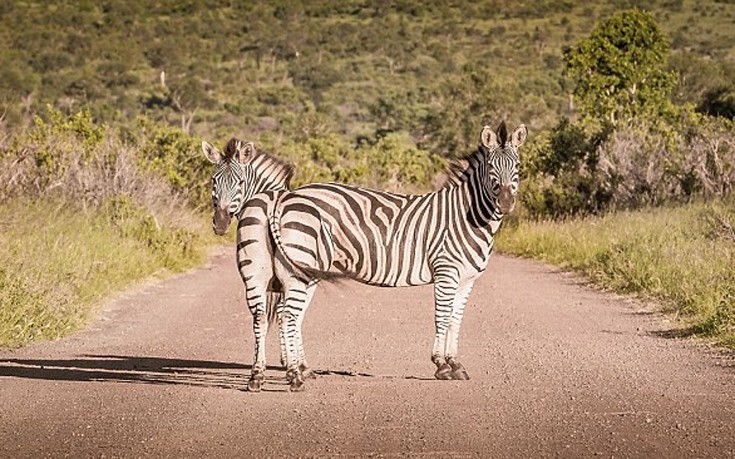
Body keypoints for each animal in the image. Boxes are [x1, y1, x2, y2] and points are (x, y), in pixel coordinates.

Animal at [200, 138, 310, 394]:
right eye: (213, 180)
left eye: (240, 182)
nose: (220, 224)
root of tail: (272, 206)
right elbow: (293, 318)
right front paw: (298, 365)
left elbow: (278, 316)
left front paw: (287, 361)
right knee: (283, 316)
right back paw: (291, 377)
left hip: (253, 276)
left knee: (259, 318)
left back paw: (257, 376)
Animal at [268, 122, 528, 392]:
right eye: (491, 167)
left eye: (518, 166)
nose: (506, 203)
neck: (467, 217)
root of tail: (289, 196)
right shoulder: (446, 272)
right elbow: (442, 316)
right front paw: (441, 365)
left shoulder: (467, 279)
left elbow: (455, 319)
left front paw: (455, 364)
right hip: (302, 263)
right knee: (288, 313)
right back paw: (293, 372)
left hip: (307, 268)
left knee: (290, 313)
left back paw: (302, 369)